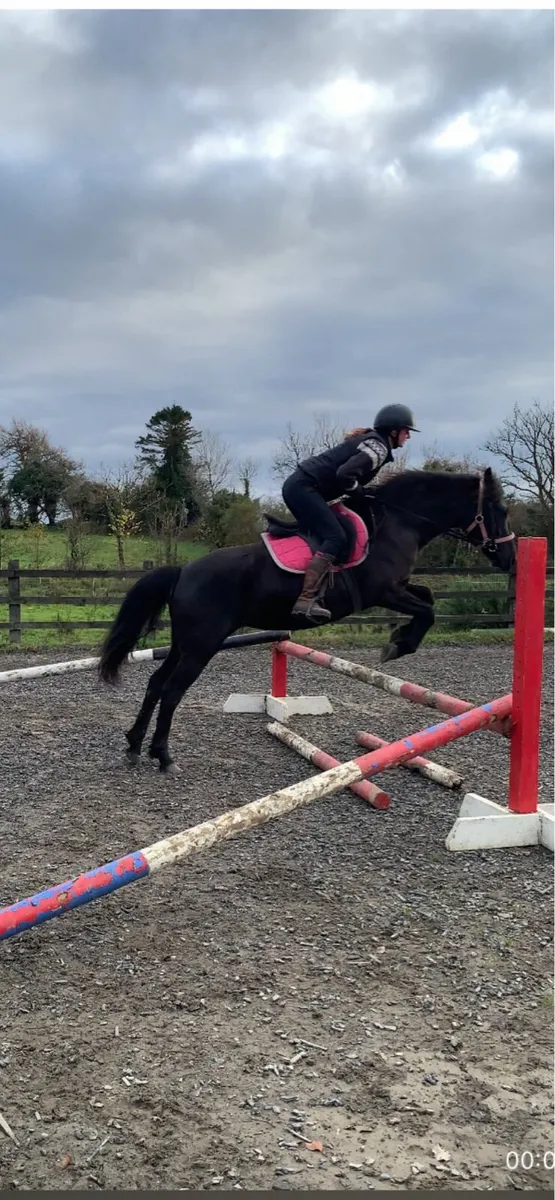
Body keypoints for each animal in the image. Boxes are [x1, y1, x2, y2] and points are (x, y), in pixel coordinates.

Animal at [98, 466, 515, 772]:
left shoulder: (399, 587)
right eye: (501, 511)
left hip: (184, 643)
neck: (400, 521)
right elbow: (427, 610)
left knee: (156, 683)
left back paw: (134, 745)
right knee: (171, 691)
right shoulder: (383, 592)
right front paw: (399, 645)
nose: (510, 559)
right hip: (203, 645)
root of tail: (183, 571)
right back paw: (163, 756)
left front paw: (399, 637)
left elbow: (427, 597)